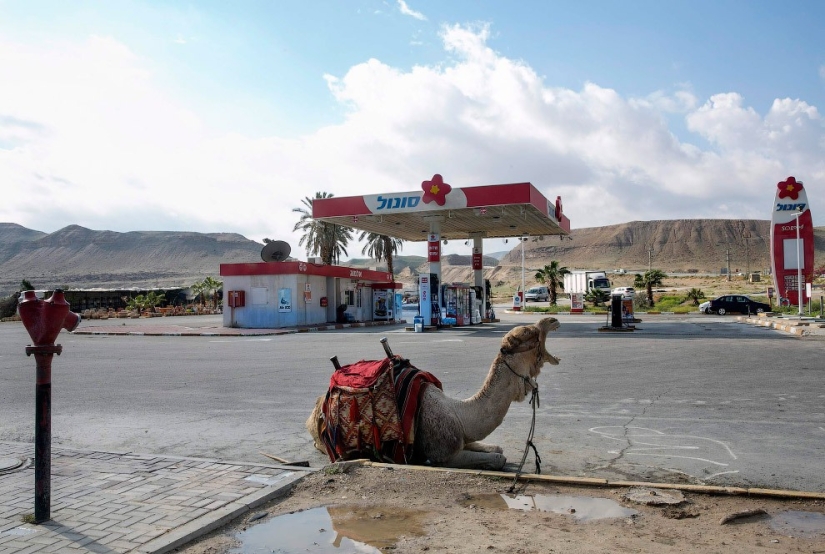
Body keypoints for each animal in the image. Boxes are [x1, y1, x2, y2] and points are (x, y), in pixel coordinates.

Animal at [306, 316, 564, 468]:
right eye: (529, 334)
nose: (553, 319)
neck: (459, 413)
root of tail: (317, 408)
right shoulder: (445, 455)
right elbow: (499, 459)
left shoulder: (463, 437)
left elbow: (496, 448)